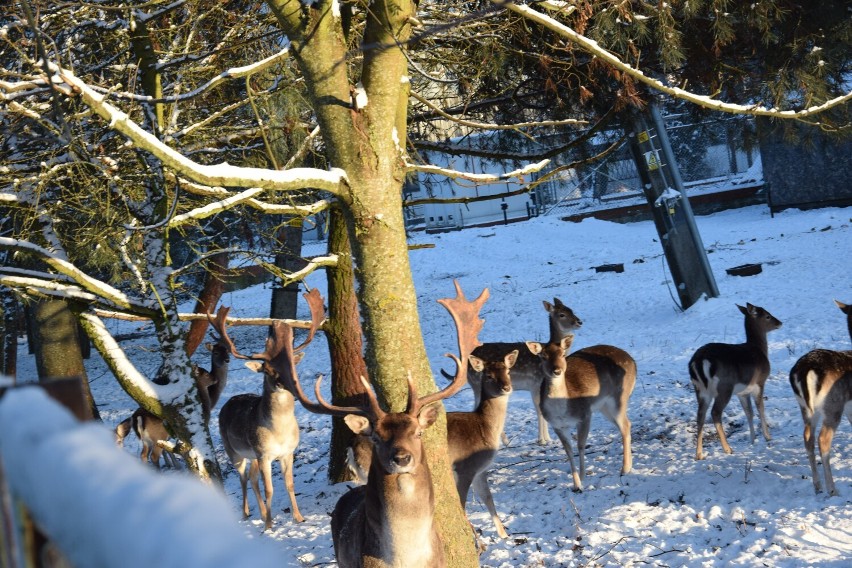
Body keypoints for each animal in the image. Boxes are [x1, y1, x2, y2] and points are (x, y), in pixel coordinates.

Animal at [216, 290, 326, 532]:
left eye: (291, 366)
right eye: (266, 369)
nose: (283, 383)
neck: (280, 432)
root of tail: (226, 403)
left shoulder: (288, 452)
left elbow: (289, 484)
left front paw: (298, 517)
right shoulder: (264, 453)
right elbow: (270, 489)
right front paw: (268, 526)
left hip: (253, 456)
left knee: (252, 477)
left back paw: (263, 513)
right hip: (234, 451)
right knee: (243, 478)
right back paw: (247, 513)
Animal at [462, 296, 584, 446]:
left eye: (571, 309)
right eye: (562, 314)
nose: (579, 322)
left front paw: (548, 438)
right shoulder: (535, 383)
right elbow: (539, 409)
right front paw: (542, 440)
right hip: (478, 384)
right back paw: (504, 441)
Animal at [688, 304, 784, 460]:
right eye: (768, 316)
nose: (780, 323)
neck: (759, 349)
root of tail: (699, 361)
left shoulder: (742, 392)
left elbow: (749, 412)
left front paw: (752, 439)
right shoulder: (759, 383)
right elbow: (760, 409)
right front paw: (767, 437)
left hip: (700, 390)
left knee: (700, 415)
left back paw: (699, 454)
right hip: (724, 387)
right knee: (715, 412)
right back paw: (727, 449)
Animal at [788, 300, 848, 494]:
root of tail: (804, 371)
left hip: (806, 407)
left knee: (808, 437)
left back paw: (817, 486)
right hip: (832, 406)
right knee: (823, 439)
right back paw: (832, 489)